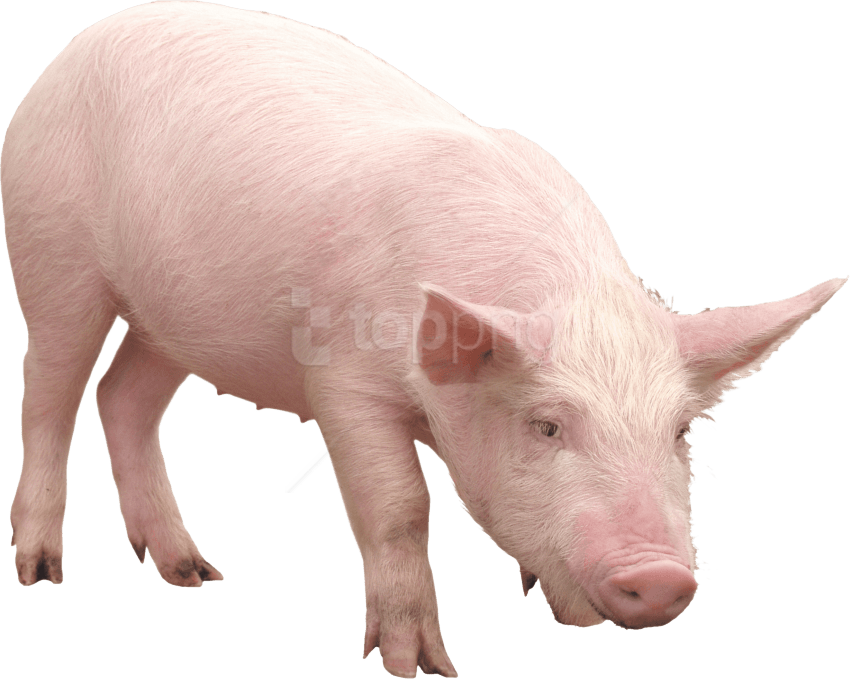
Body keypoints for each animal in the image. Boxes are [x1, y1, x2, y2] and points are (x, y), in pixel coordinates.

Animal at [1, 2, 845, 678]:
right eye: (546, 425)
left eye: (679, 434)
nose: (665, 578)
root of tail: (72, 49)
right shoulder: (342, 382)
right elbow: (402, 504)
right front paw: (423, 666)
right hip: (52, 251)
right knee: (48, 389)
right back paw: (42, 572)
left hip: (172, 317)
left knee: (122, 397)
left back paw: (192, 572)